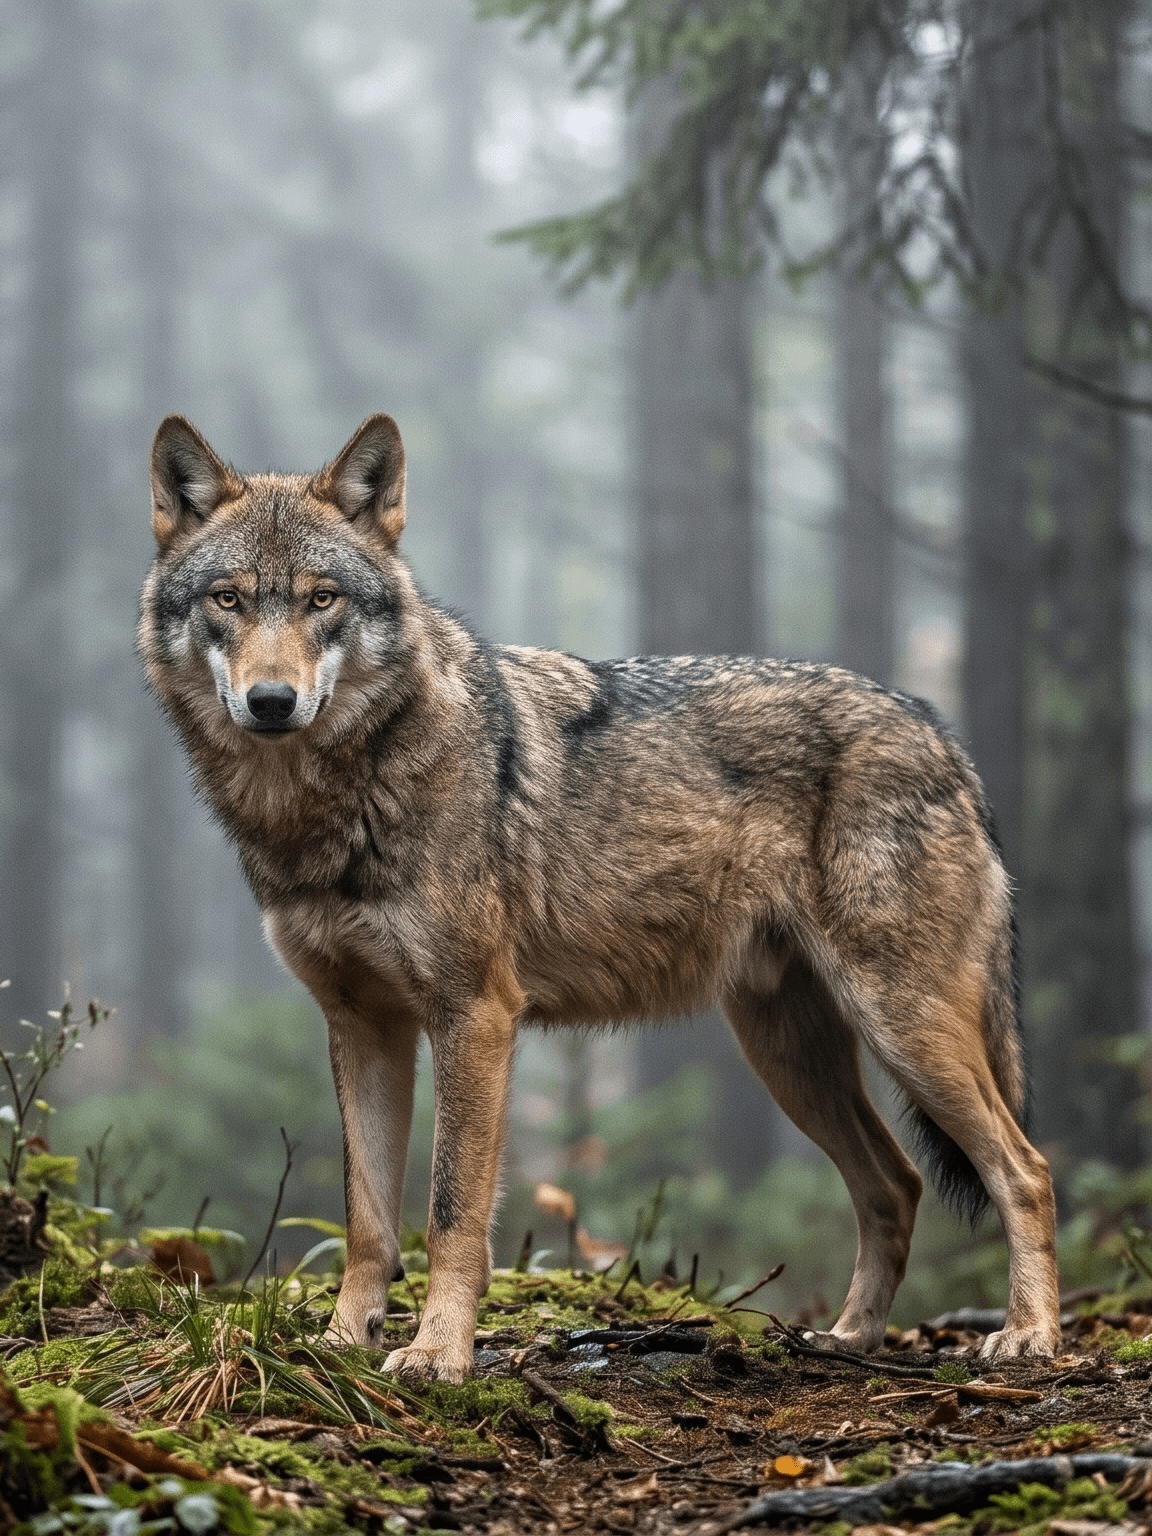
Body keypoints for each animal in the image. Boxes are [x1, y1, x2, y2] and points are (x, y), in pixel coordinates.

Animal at [139, 412, 1061, 1382]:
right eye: (229, 600)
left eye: (321, 601)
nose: (272, 702)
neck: (330, 805)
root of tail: (939, 730)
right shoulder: (363, 1025)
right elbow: (368, 1221)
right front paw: (341, 1346)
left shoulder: (475, 1014)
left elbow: (451, 1213)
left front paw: (437, 1355)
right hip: (789, 1053)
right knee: (898, 1181)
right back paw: (850, 1339)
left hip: (900, 1025)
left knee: (1024, 1169)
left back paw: (1029, 1336)